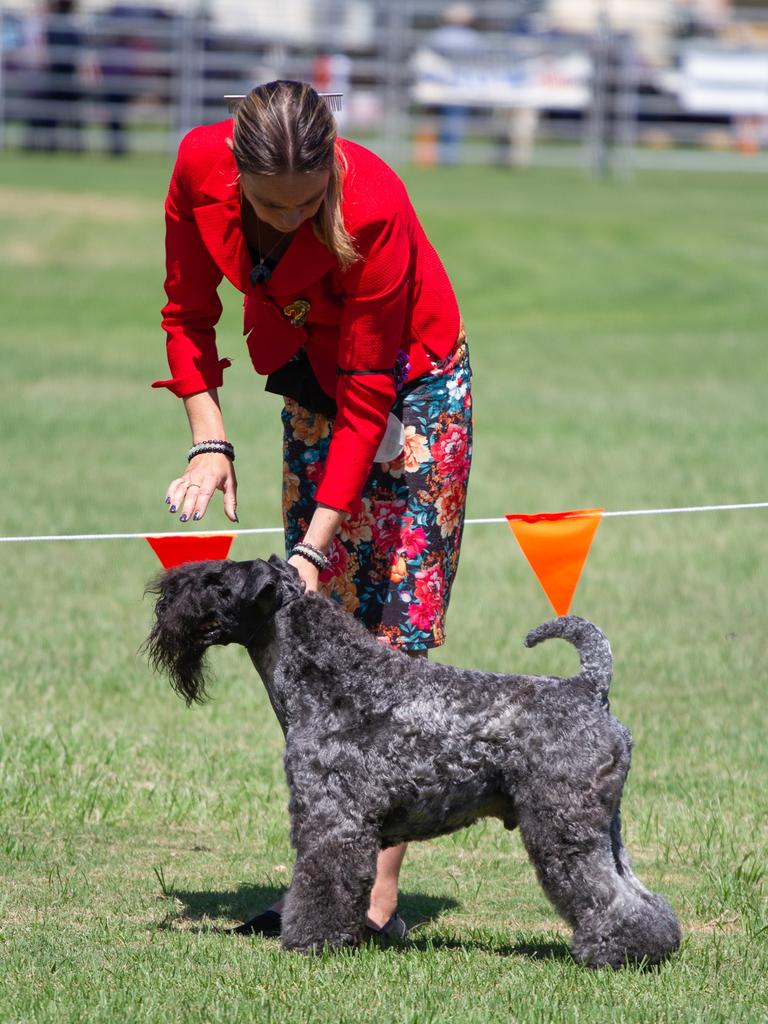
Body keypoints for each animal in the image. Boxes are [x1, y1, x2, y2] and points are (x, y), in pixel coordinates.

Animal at [147, 557, 684, 962]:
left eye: (217, 580)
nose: (164, 594)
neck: (334, 679)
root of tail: (590, 688)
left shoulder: (331, 819)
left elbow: (321, 883)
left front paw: (309, 941)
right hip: (605, 825)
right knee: (639, 892)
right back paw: (653, 946)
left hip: (564, 825)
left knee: (604, 891)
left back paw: (614, 952)